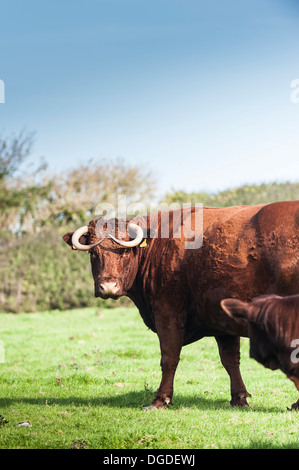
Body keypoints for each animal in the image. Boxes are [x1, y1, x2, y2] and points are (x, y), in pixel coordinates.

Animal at [62, 200, 299, 410]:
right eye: (93, 253)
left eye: (125, 250)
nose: (108, 286)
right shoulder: (222, 319)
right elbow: (230, 360)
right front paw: (239, 399)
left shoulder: (167, 313)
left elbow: (169, 357)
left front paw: (160, 400)